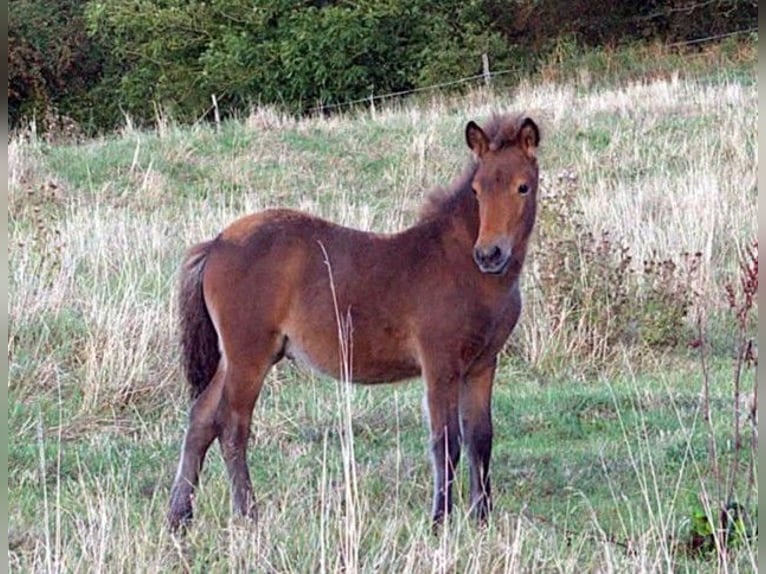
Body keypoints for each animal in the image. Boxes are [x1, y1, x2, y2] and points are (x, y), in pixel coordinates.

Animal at [167, 113, 541, 531]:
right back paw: (248, 515)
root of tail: (216, 242)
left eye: (523, 187)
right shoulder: (440, 364)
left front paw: (482, 520)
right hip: (249, 356)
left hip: (237, 357)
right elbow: (445, 441)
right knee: (232, 426)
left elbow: (481, 439)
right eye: (477, 190)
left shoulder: (482, 365)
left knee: (201, 420)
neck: (462, 265)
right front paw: (438, 523)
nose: (490, 254)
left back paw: (179, 517)